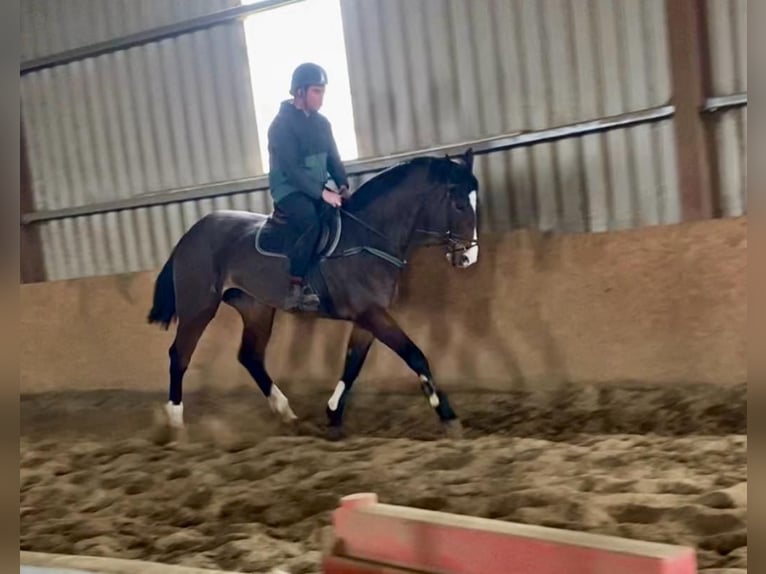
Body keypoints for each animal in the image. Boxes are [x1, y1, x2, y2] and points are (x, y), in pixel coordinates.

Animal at [147, 148, 480, 440]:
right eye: (459, 204)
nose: (469, 257)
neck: (368, 237)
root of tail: (190, 234)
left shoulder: (367, 316)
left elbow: (352, 364)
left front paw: (333, 415)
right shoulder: (371, 313)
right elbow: (415, 356)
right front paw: (448, 417)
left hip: (256, 307)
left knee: (250, 356)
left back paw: (287, 414)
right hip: (199, 306)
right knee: (179, 355)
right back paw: (176, 425)